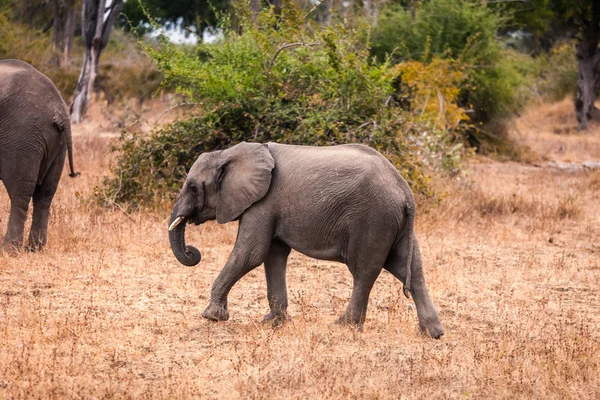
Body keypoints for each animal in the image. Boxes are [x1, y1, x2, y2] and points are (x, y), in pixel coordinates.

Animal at [0, 59, 78, 252]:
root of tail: (59, 110)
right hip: (57, 145)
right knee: (46, 194)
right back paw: (36, 248)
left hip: (21, 136)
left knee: (20, 194)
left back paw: (9, 250)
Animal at [166, 141, 442, 338]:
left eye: (193, 187)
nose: (192, 251)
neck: (229, 153)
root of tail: (405, 191)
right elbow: (273, 256)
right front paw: (273, 322)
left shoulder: (263, 202)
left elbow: (250, 254)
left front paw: (211, 317)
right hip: (394, 223)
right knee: (410, 268)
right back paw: (432, 333)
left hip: (373, 219)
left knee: (364, 271)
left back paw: (343, 327)